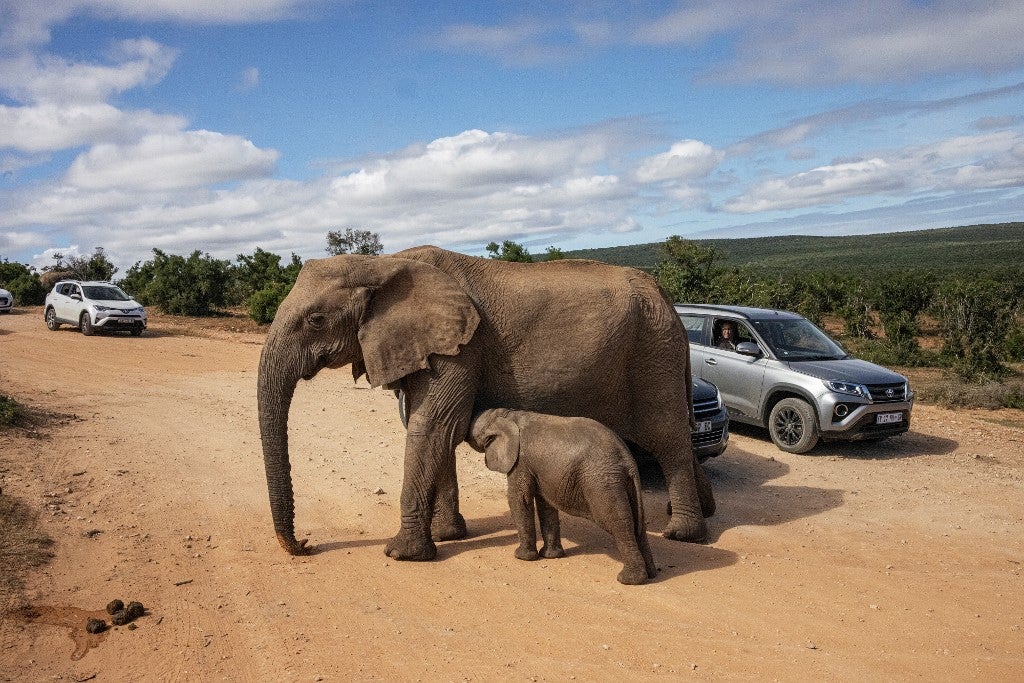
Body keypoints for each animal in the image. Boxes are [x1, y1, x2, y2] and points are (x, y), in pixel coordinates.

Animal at [260, 245, 716, 561]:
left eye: (315, 320)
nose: (305, 544)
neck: (382, 264)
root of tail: (666, 298)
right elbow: (439, 431)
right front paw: (448, 535)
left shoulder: (461, 348)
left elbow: (432, 427)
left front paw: (403, 554)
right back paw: (703, 515)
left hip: (652, 352)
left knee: (667, 437)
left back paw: (682, 534)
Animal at [466, 409, 655, 585]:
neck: (508, 414)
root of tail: (628, 460)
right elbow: (545, 503)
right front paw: (551, 556)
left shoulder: (521, 461)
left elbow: (520, 499)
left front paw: (521, 557)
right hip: (624, 484)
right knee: (637, 523)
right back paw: (651, 574)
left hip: (602, 483)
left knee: (618, 523)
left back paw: (629, 580)